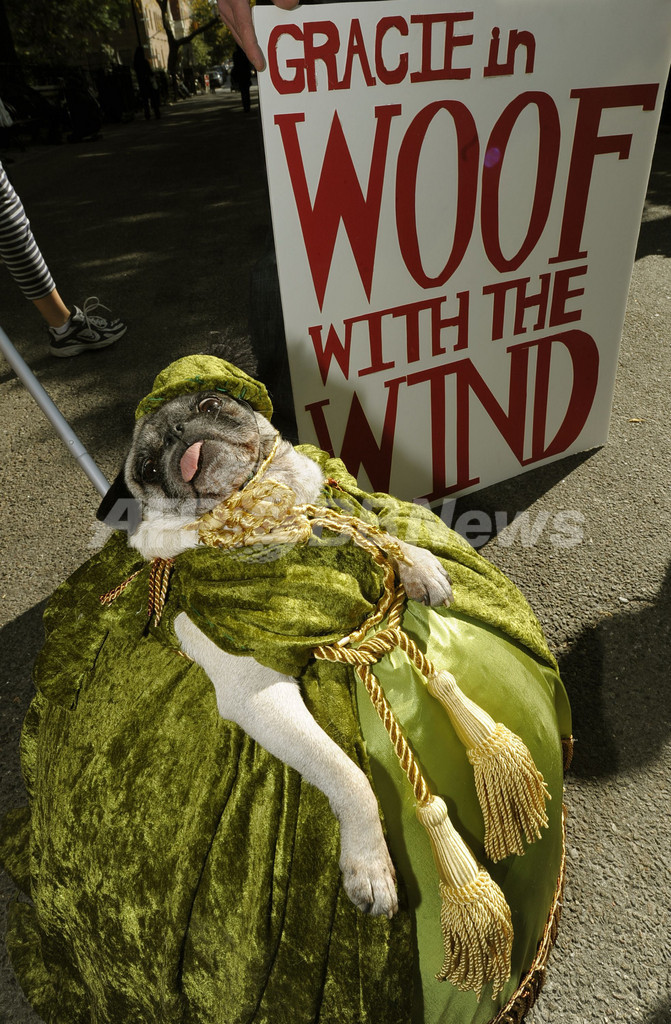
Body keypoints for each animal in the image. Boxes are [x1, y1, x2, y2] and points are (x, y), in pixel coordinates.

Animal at [123, 386, 454, 921]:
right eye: (149, 468)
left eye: (209, 404)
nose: (178, 433)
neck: (270, 513)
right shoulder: (260, 696)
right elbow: (349, 777)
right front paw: (370, 864)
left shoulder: (335, 506)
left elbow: (378, 530)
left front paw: (418, 563)